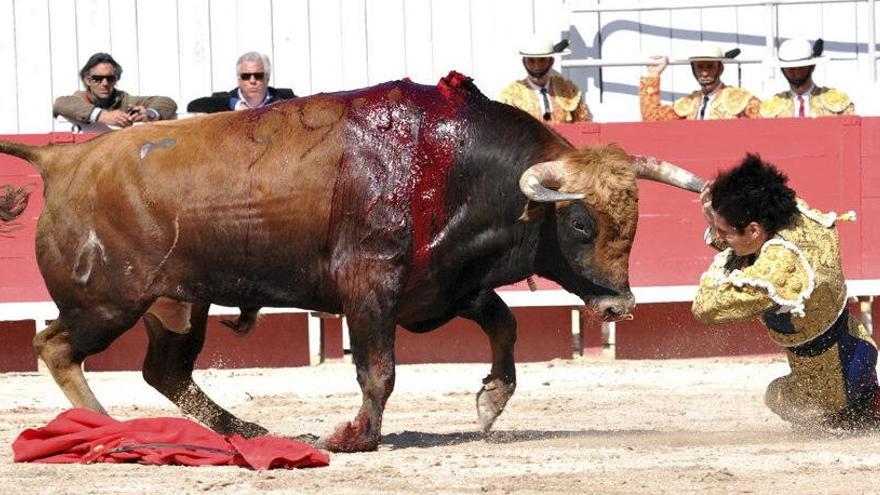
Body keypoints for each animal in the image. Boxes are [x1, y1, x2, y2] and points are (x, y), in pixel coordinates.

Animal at [0, 72, 700, 454]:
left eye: (635, 224)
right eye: (580, 224)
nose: (619, 306)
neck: (451, 166)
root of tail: (62, 159)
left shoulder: (441, 286)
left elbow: (504, 324)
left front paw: (490, 402)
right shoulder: (371, 287)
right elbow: (379, 370)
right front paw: (353, 436)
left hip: (178, 304)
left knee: (164, 370)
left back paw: (242, 430)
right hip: (107, 302)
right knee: (56, 344)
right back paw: (104, 427)